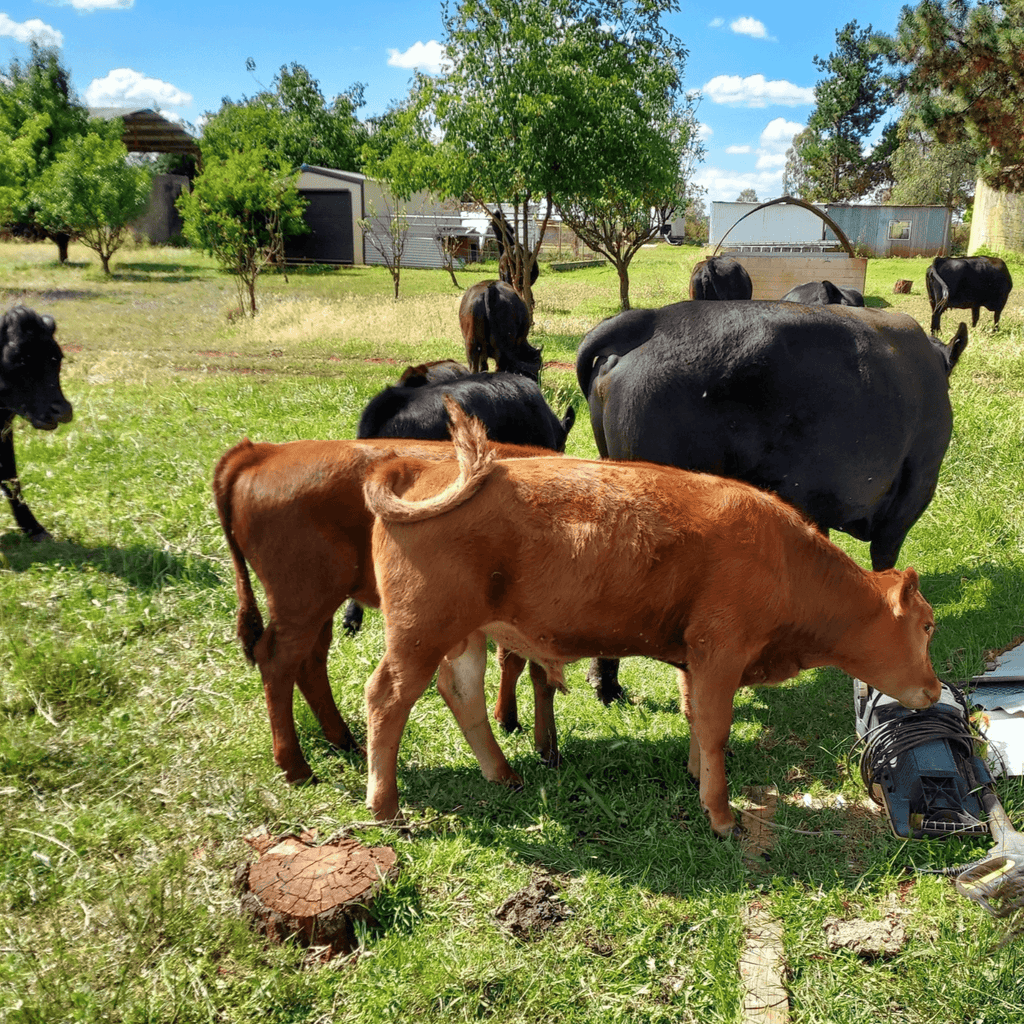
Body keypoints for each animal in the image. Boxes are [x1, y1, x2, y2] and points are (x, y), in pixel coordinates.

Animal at [213, 435, 566, 786]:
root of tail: (262, 452)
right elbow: (526, 666)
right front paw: (525, 731)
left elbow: (526, 666)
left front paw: (531, 735)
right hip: (301, 602)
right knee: (277, 663)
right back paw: (296, 767)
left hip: (318, 605)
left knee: (310, 662)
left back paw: (344, 741)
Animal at [359, 399, 942, 836]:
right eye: (927, 626)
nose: (936, 691)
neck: (782, 558)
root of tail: (426, 468)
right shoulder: (720, 651)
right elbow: (715, 728)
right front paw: (721, 814)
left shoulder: (694, 659)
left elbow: (694, 719)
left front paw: (694, 778)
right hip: (420, 633)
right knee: (387, 698)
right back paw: (385, 805)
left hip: (464, 635)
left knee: (462, 695)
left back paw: (502, 774)